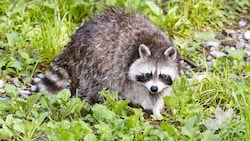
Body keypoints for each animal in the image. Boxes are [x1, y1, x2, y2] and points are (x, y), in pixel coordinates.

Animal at [38, 7, 180, 117]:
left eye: (162, 75)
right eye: (148, 74)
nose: (153, 88)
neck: (155, 46)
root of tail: (74, 42)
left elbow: (160, 93)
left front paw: (156, 106)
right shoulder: (122, 66)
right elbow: (132, 89)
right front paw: (144, 102)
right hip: (93, 61)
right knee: (98, 83)